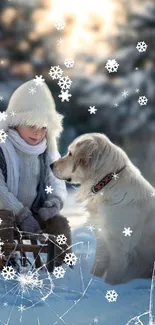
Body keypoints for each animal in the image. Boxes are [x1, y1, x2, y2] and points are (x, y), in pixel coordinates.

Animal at [50, 133, 155, 282]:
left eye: (70, 153)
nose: (50, 165)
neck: (106, 183)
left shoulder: (120, 248)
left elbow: (111, 278)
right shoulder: (102, 239)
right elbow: (97, 267)